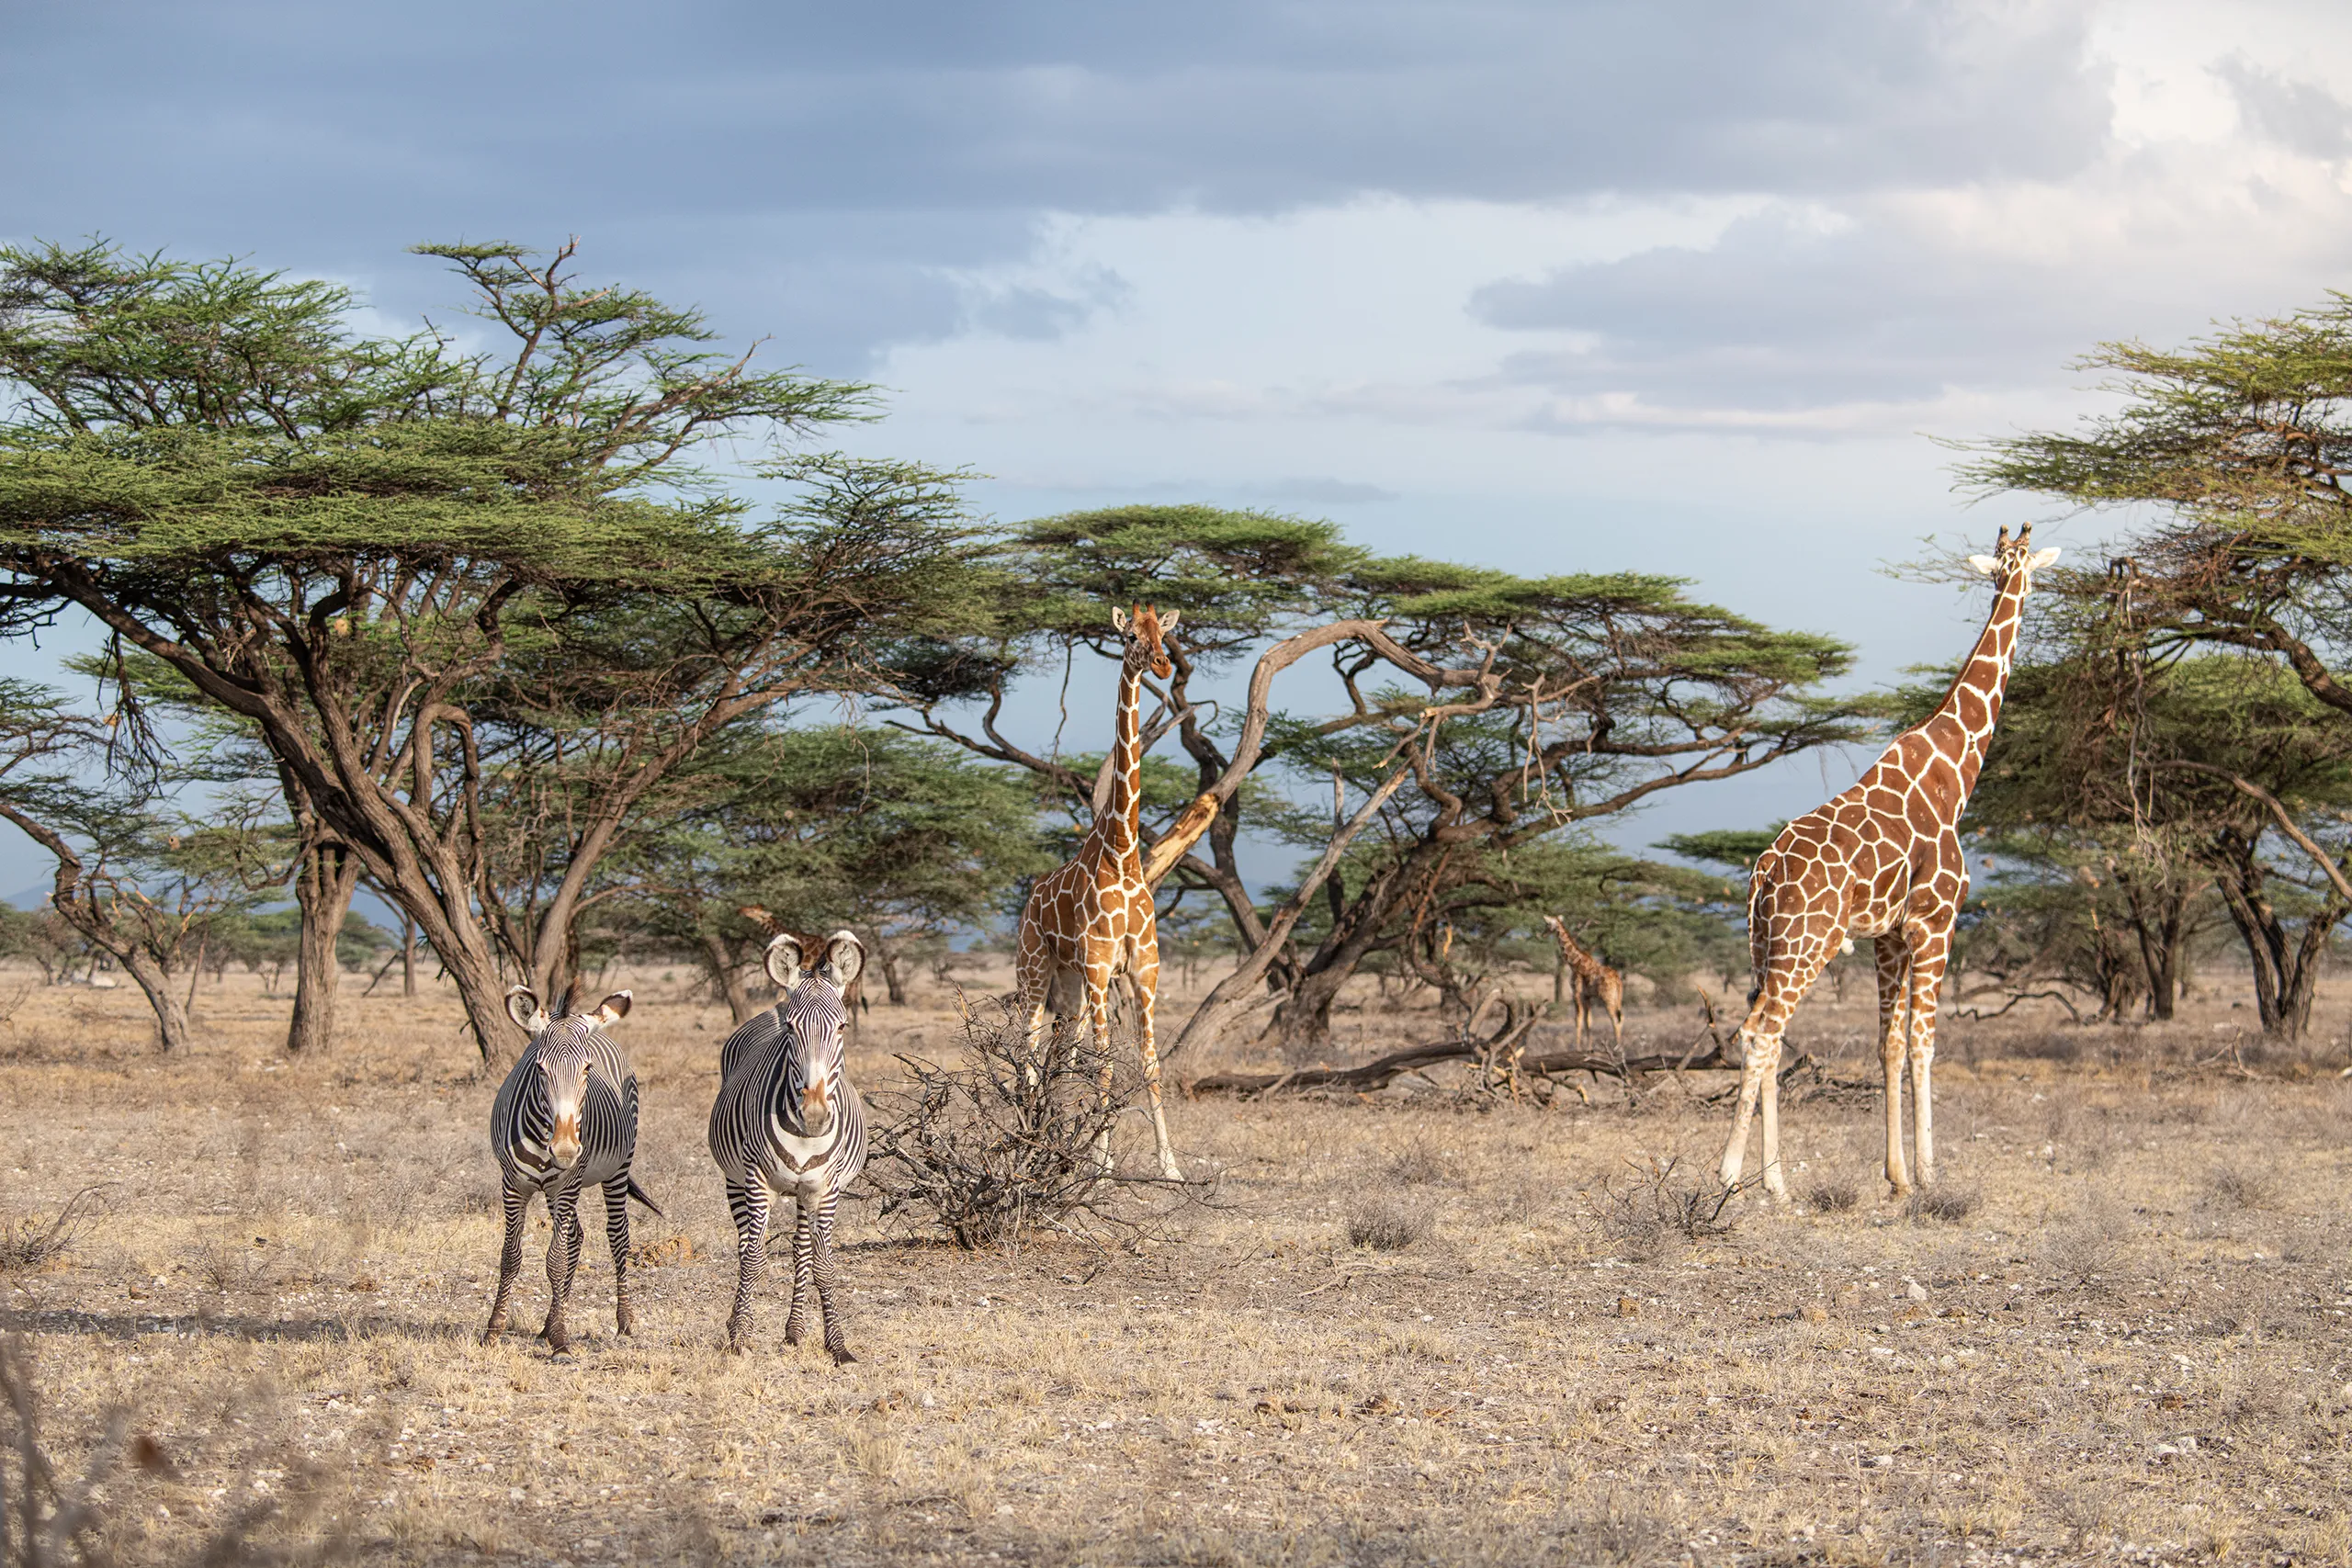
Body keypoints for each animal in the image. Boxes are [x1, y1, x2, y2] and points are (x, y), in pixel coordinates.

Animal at [482, 986, 662, 1356]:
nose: (565, 1150)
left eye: (587, 1069)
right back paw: (549, 1323)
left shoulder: (567, 1185)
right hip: (557, 1191)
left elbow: (555, 1259)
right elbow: (510, 1255)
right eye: (539, 1069)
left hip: (616, 1169)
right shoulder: (513, 1184)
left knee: (617, 1235)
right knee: (576, 1236)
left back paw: (624, 1321)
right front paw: (495, 1329)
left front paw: (561, 1340)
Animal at [707, 930, 868, 1361]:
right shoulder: (756, 1181)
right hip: (734, 1179)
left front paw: (838, 1346)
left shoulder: (825, 1189)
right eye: (792, 1030)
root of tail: (773, 1006)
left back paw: (794, 1330)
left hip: (802, 1191)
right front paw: (740, 1338)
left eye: (843, 1027)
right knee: (747, 1245)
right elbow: (752, 1259)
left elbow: (823, 1264)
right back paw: (736, 1322)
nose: (814, 1114)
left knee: (801, 1250)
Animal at [1014, 602, 1185, 1182]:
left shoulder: (1144, 970)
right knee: (1027, 1047)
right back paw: (1030, 1140)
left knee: (1059, 1057)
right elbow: (1106, 1065)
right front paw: (1103, 1164)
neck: (1124, 853)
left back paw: (1048, 1140)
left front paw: (1170, 1166)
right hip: (1036, 970)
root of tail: (1029, 900)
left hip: (1068, 989)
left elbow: (1150, 1065)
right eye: (1130, 636)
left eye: (1166, 636)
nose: (1162, 666)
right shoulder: (1098, 966)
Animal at [1542, 915, 1624, 1049]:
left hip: (1607, 998)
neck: (1575, 963)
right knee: (1621, 1017)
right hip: (1618, 998)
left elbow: (1578, 1019)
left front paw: (1577, 1047)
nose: (1543, 934)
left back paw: (1617, 1047)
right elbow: (1588, 1021)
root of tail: (1617, 980)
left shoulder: (1576, 993)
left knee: (1615, 1019)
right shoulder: (1587, 996)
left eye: (1548, 924)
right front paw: (1588, 1047)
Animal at [1718, 525, 2059, 1201]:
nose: (2020, 586)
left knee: (1767, 1034)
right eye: (2024, 566)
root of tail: (1763, 872)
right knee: (1760, 1032)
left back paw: (1778, 1184)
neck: (1955, 774)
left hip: (1765, 945)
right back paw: (1727, 1176)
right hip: (1808, 943)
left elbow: (1890, 1045)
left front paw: (1896, 1175)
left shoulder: (1889, 937)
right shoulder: (1936, 923)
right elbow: (1926, 1043)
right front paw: (1929, 1172)